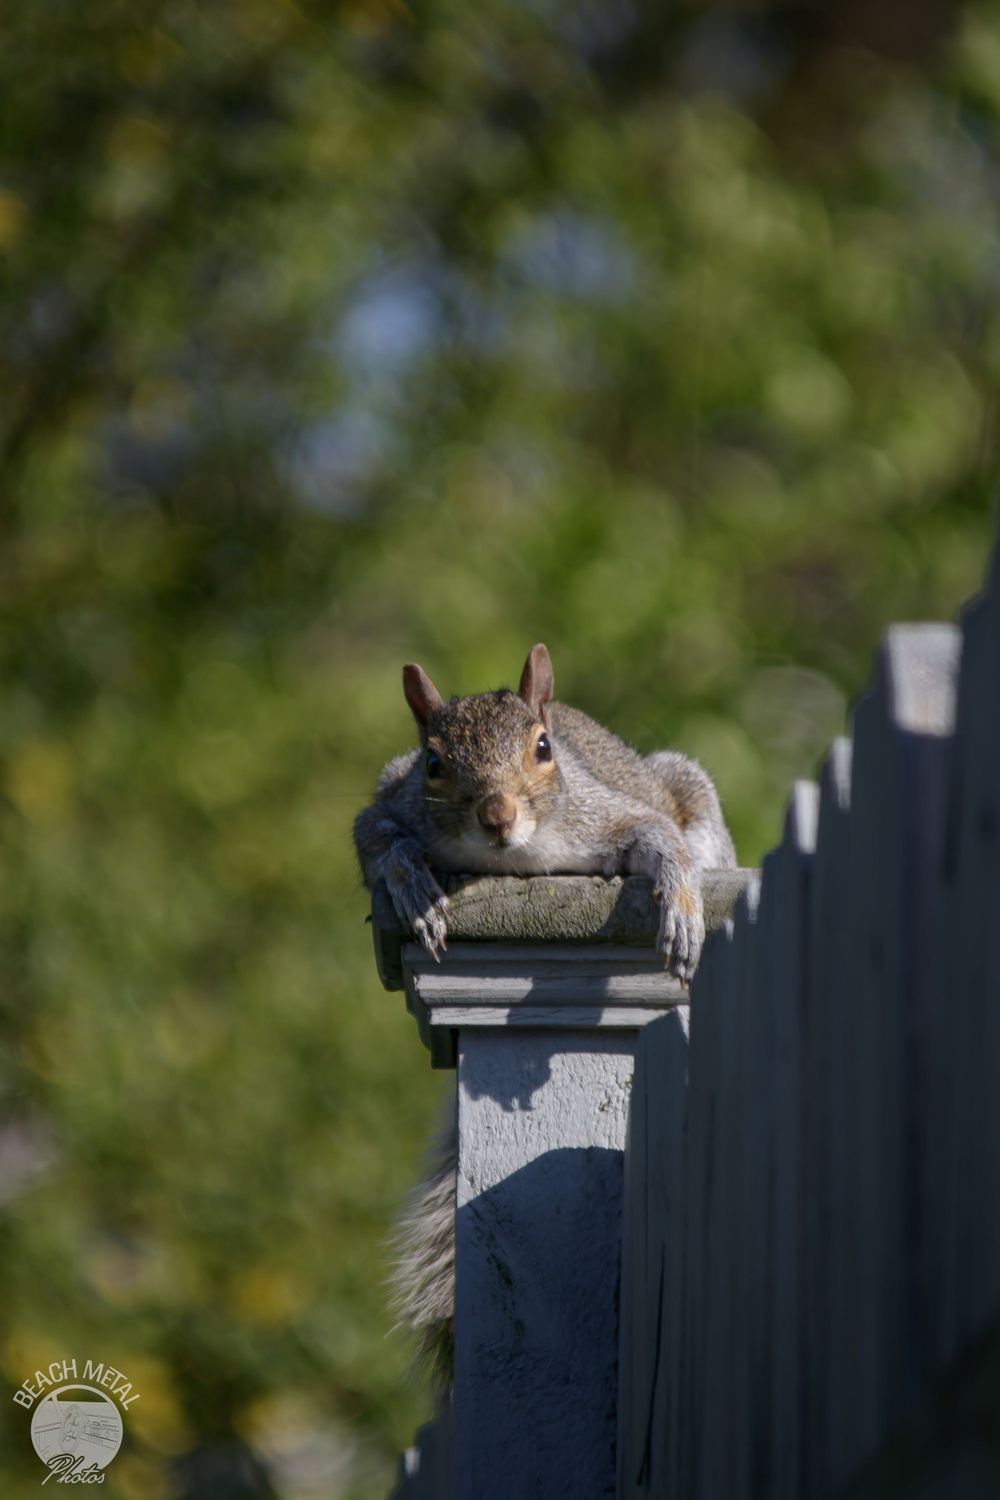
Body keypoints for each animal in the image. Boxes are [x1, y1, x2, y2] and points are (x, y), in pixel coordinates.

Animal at [354, 643, 737, 1378]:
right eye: (434, 764)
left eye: (542, 747)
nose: (497, 816)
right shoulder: (389, 803)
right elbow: (378, 838)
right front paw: (413, 887)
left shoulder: (605, 815)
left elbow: (659, 838)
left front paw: (679, 907)